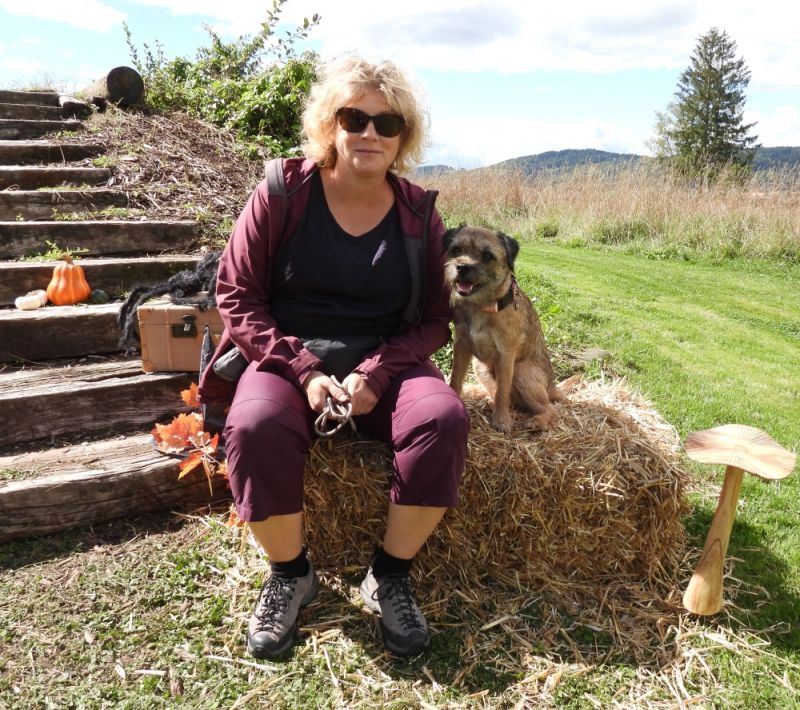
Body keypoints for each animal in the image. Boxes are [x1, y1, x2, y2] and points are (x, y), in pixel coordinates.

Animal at [443, 225, 561, 434]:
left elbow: (503, 390)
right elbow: (456, 378)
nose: (462, 267)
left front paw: (502, 421)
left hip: (521, 371)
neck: (482, 306)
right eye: (456, 250)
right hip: (480, 367)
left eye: (487, 255)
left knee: (550, 409)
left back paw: (537, 421)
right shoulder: (462, 346)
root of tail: (552, 388)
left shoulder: (506, 355)